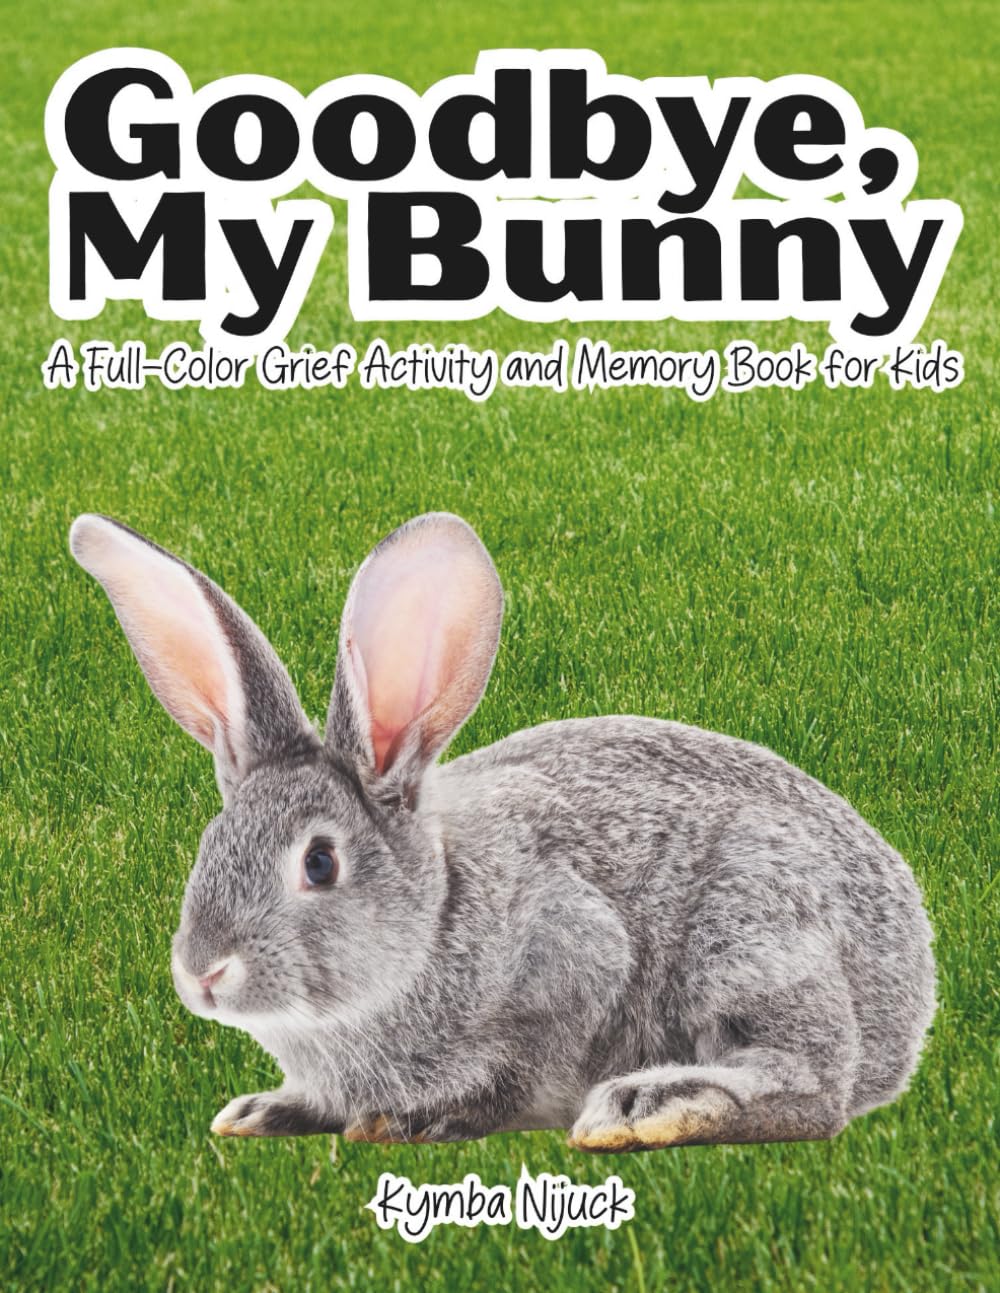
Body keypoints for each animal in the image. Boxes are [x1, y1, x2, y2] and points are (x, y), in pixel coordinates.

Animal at [69, 510, 935, 1151]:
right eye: (209, 843)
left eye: (319, 863)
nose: (204, 974)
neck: (433, 921)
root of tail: (914, 981)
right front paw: (265, 1110)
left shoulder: (574, 957)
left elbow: (514, 1071)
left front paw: (413, 1121)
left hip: (753, 932)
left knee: (813, 1087)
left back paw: (644, 1107)